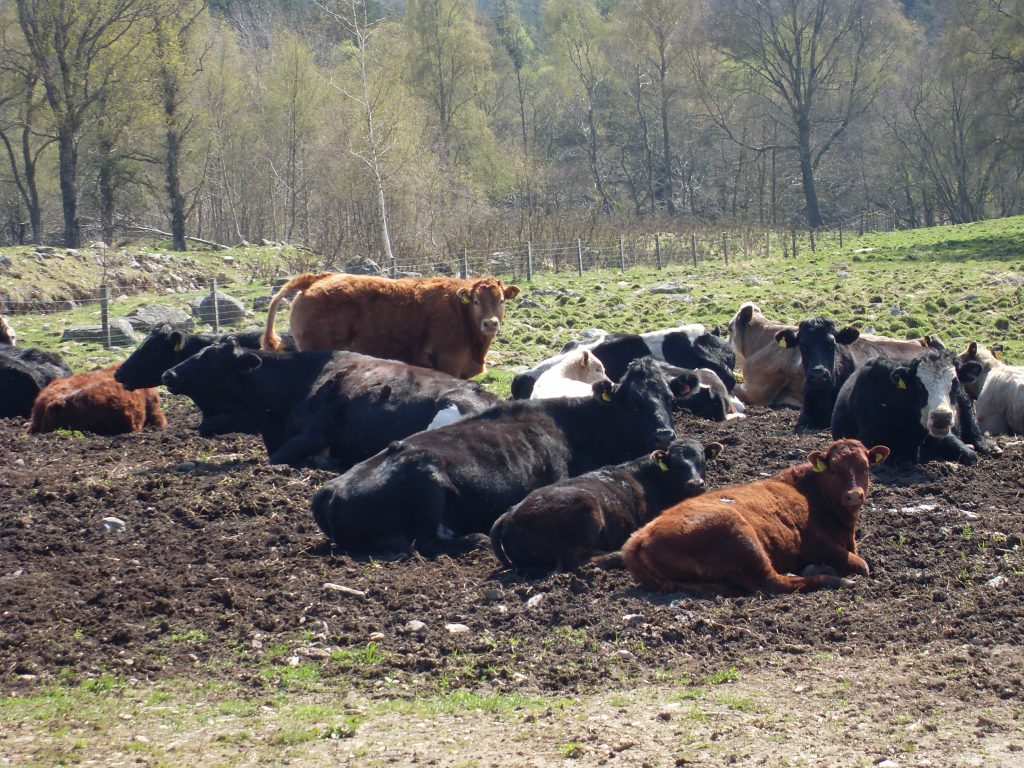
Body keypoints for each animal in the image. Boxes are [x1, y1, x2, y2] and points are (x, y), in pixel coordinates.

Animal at [311, 357, 679, 557]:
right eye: (633, 402)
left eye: (670, 399)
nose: (664, 434)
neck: (579, 425)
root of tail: (329, 489)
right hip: (427, 478)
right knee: (427, 541)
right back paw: (474, 537)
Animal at [489, 438, 723, 570]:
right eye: (675, 464)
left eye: (702, 460)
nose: (696, 483)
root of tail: (510, 513)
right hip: (588, 511)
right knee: (570, 560)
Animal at [621, 439, 890, 595]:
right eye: (833, 469)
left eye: (866, 467)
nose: (853, 495)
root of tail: (640, 537)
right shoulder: (818, 544)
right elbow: (862, 565)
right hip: (741, 534)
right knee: (774, 582)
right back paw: (833, 579)